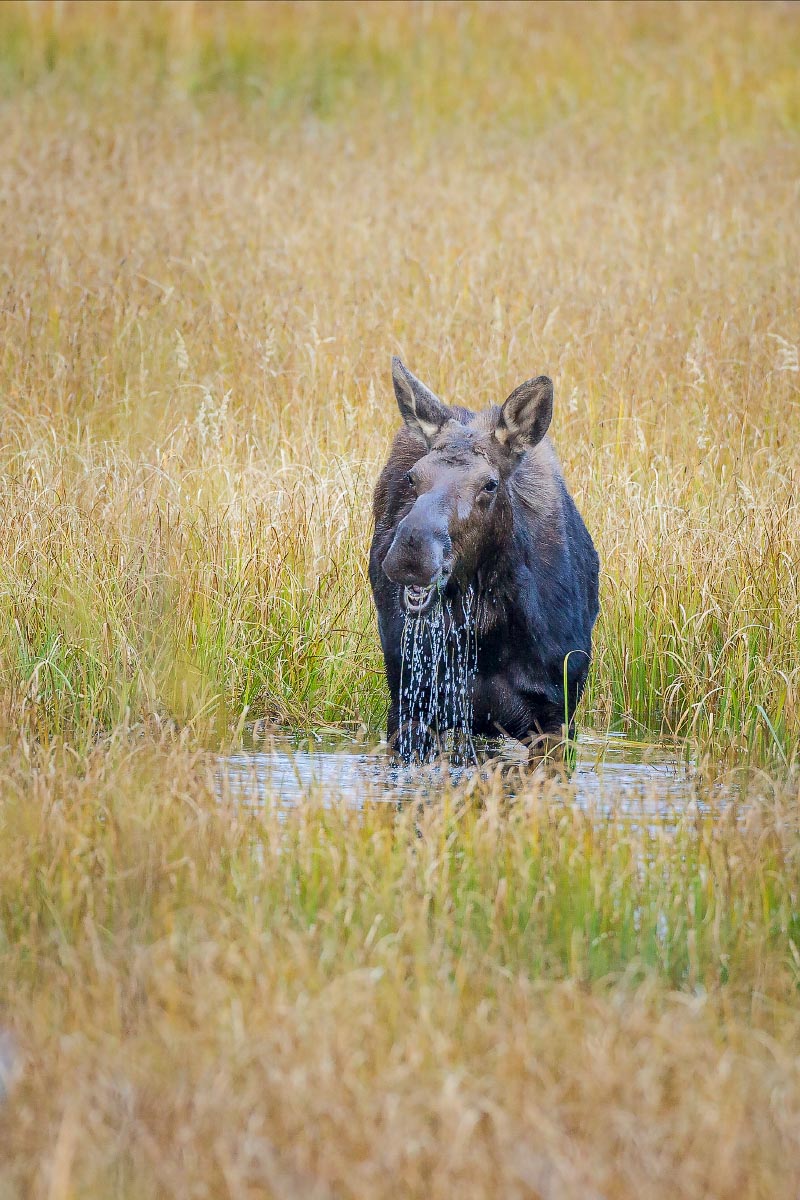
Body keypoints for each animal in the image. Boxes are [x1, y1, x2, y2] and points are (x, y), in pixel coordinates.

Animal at [371, 357, 597, 768]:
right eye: (413, 477)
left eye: (490, 484)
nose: (412, 550)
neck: (487, 628)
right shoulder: (411, 707)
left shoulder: (556, 717)